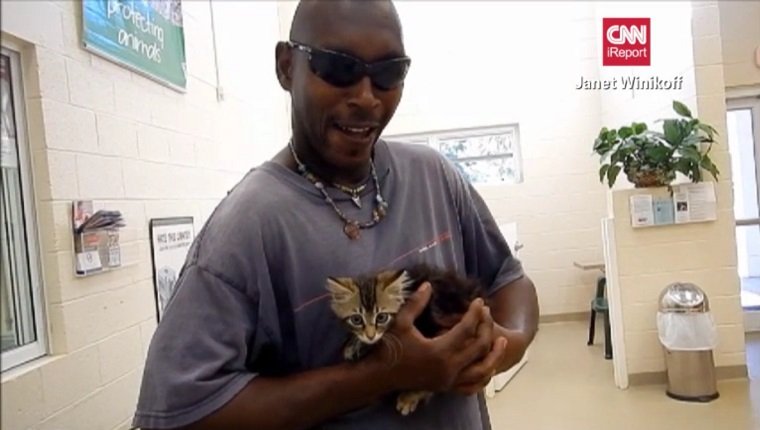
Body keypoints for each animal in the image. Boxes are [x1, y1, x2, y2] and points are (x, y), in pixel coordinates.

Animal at [326, 264, 486, 414]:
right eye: (357, 319)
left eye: (381, 317)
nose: (370, 335)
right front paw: (354, 345)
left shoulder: (430, 319)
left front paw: (411, 396)